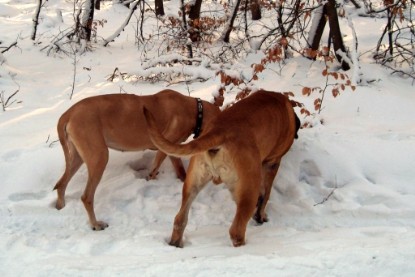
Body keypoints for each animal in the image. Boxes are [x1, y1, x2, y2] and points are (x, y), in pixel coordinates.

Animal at [54, 89, 221, 230]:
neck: (196, 111)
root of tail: (68, 114)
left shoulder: (172, 150)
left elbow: (180, 171)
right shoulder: (163, 148)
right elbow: (153, 170)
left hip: (77, 157)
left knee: (61, 184)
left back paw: (60, 207)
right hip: (99, 157)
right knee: (86, 197)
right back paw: (96, 224)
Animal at [145, 90, 300, 246]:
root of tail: (220, 130)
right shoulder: (272, 164)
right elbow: (266, 195)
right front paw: (261, 216)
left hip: (192, 184)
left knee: (179, 220)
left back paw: (175, 243)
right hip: (248, 190)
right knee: (236, 230)